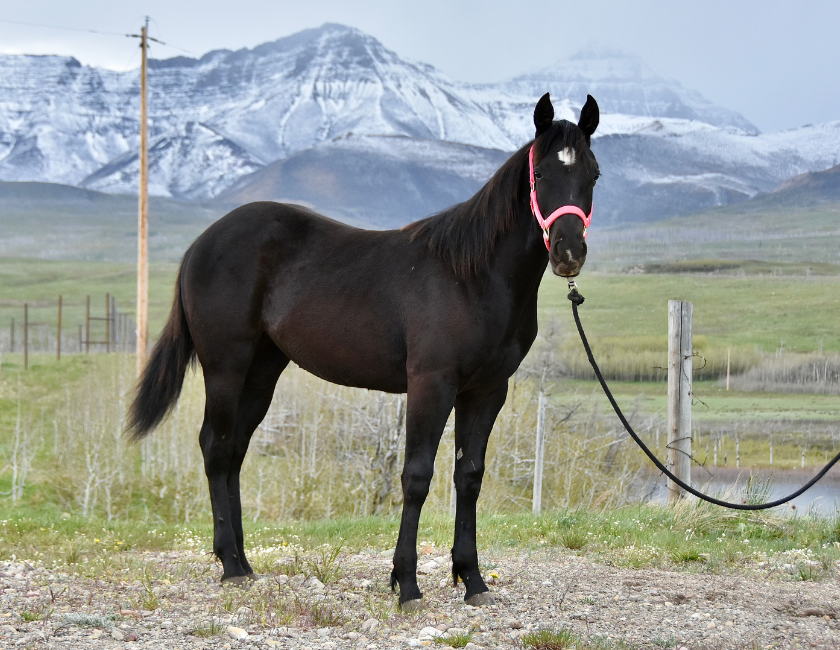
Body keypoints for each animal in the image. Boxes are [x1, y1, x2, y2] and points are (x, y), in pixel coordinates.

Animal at [127, 92, 600, 610]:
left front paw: (472, 579)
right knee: (216, 447)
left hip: (262, 370)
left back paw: (244, 563)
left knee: (234, 451)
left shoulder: (487, 391)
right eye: (541, 175)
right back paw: (230, 565)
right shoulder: (431, 384)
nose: (568, 253)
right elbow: (417, 476)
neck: (473, 277)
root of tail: (201, 243)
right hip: (225, 366)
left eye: (593, 174)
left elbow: (469, 477)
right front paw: (406, 583)